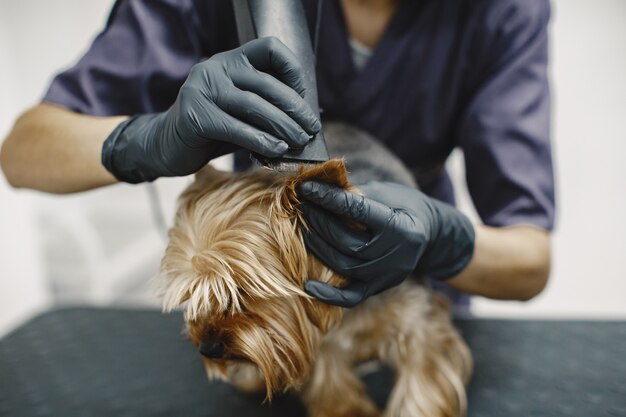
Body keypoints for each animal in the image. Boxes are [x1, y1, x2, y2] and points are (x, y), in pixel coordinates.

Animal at [158, 122, 470, 414]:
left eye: (242, 292)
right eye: (195, 296)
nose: (207, 348)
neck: (351, 309)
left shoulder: (419, 320)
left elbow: (422, 386)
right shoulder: (314, 334)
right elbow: (331, 383)